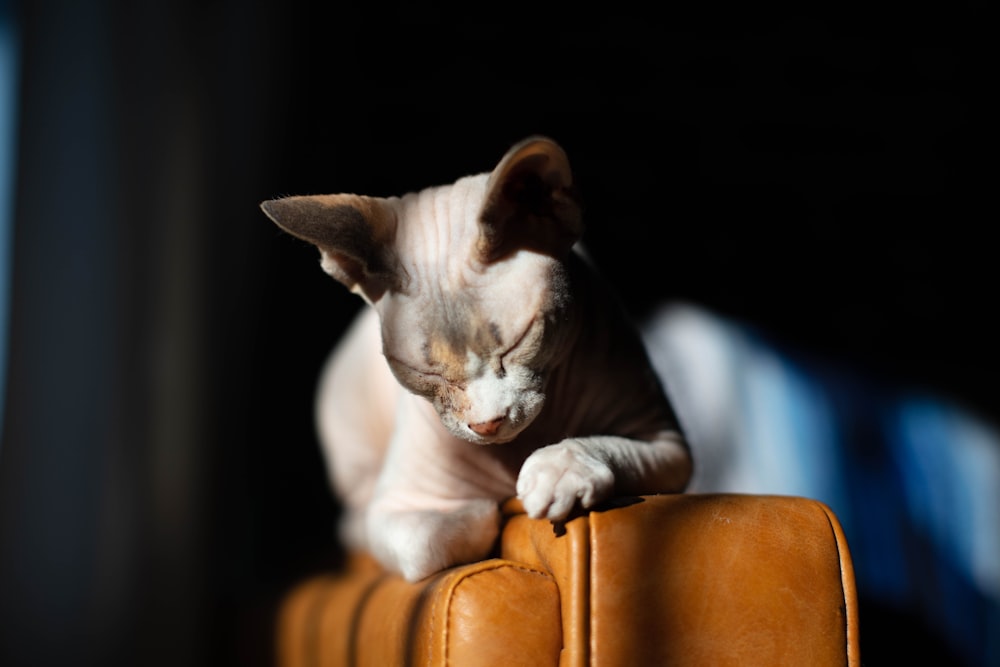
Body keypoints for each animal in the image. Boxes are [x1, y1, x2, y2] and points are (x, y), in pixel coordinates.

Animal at [262, 136, 692, 580]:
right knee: (354, 522)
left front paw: (558, 471)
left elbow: (606, 447)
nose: (487, 425)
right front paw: (493, 502)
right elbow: (446, 533)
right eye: (425, 372)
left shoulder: (666, 443)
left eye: (518, 343)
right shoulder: (397, 506)